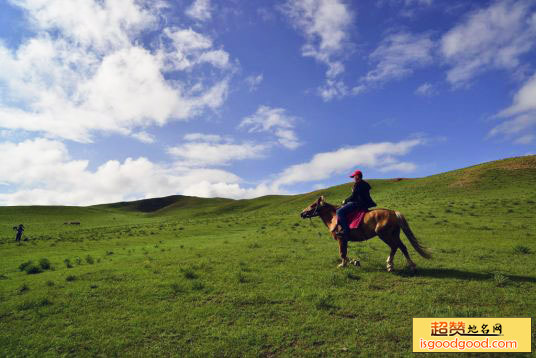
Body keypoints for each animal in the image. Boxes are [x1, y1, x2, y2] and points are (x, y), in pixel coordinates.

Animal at [302, 196, 432, 272]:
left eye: (313, 205)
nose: (302, 213)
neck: (334, 217)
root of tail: (393, 212)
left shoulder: (341, 238)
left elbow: (342, 253)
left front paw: (343, 264)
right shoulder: (344, 240)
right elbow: (345, 253)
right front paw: (353, 262)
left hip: (385, 235)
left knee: (395, 247)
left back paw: (392, 265)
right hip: (394, 235)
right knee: (402, 247)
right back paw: (407, 265)